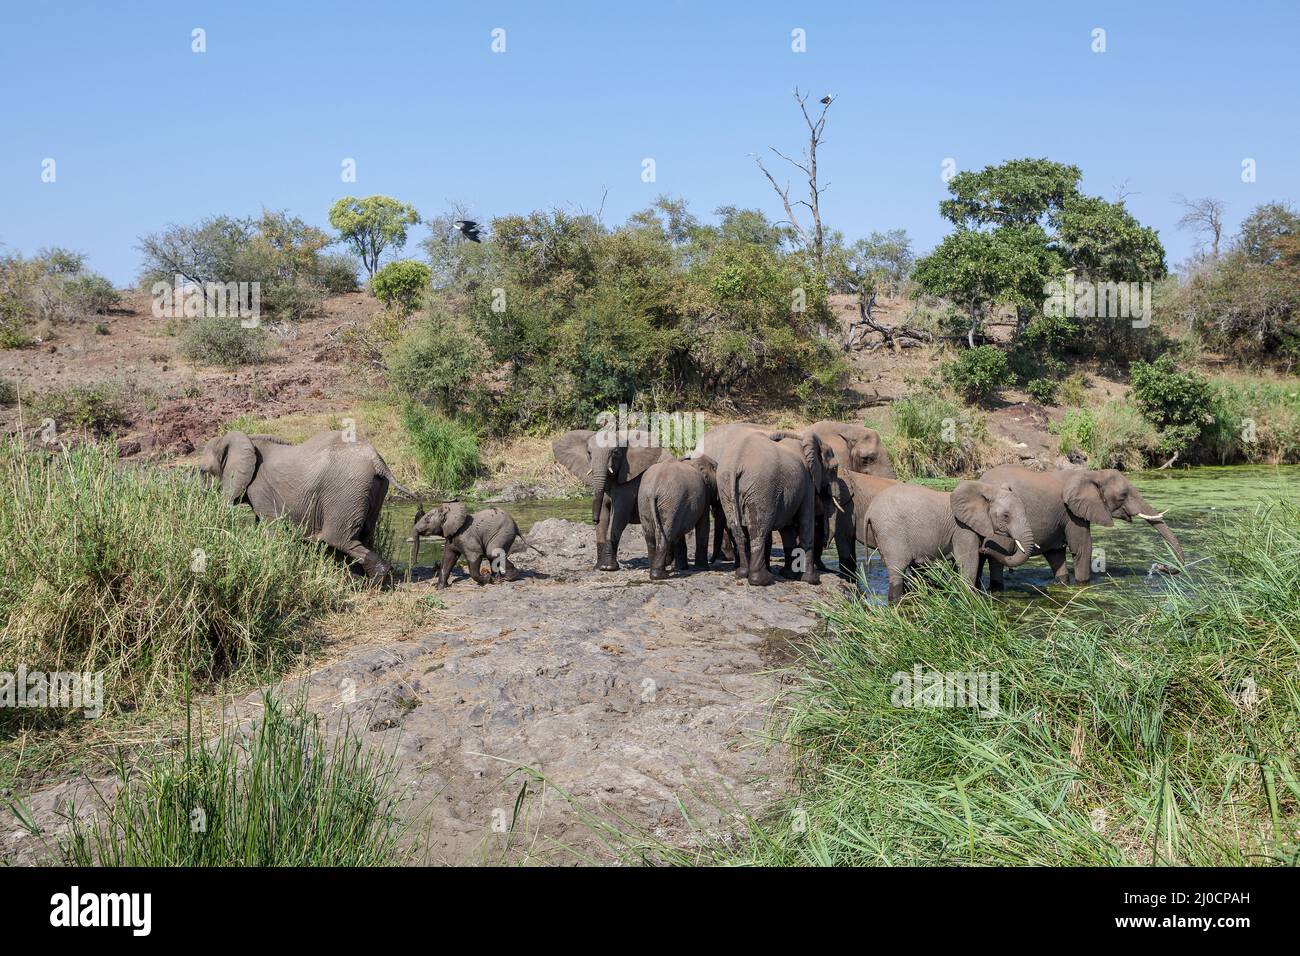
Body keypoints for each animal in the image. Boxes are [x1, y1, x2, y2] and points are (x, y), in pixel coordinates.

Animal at [197, 429, 421, 580]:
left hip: (345, 492)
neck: (247, 439)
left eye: (202, 471)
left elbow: (272, 530)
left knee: (339, 539)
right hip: (372, 490)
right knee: (364, 536)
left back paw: (373, 580)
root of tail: (377, 461)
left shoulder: (260, 489)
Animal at [548, 426, 670, 567]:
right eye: (589, 453)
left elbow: (619, 516)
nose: (593, 520)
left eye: (615, 453)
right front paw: (599, 567)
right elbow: (603, 515)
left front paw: (608, 567)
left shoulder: (629, 481)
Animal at [977, 465, 1190, 590]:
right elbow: (1083, 547)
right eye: (1123, 495)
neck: (1092, 474)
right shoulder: (1072, 513)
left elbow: (1056, 553)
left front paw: (1063, 584)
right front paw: (1083, 585)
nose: (1160, 567)